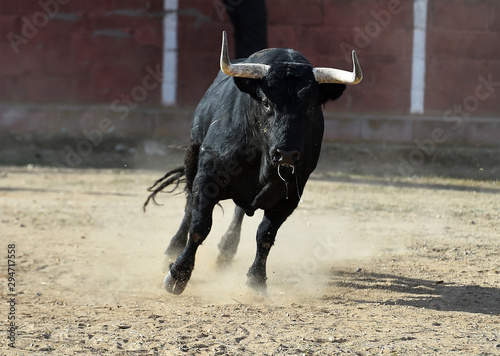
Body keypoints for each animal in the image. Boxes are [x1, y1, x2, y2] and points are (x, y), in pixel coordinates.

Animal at [145, 31, 364, 294]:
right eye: (266, 102)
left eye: (311, 106)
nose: (286, 154)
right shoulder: (207, 178)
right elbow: (199, 226)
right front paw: (178, 274)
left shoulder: (291, 194)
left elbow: (266, 234)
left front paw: (256, 280)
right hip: (192, 153)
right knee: (189, 204)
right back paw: (172, 249)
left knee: (240, 211)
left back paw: (227, 250)